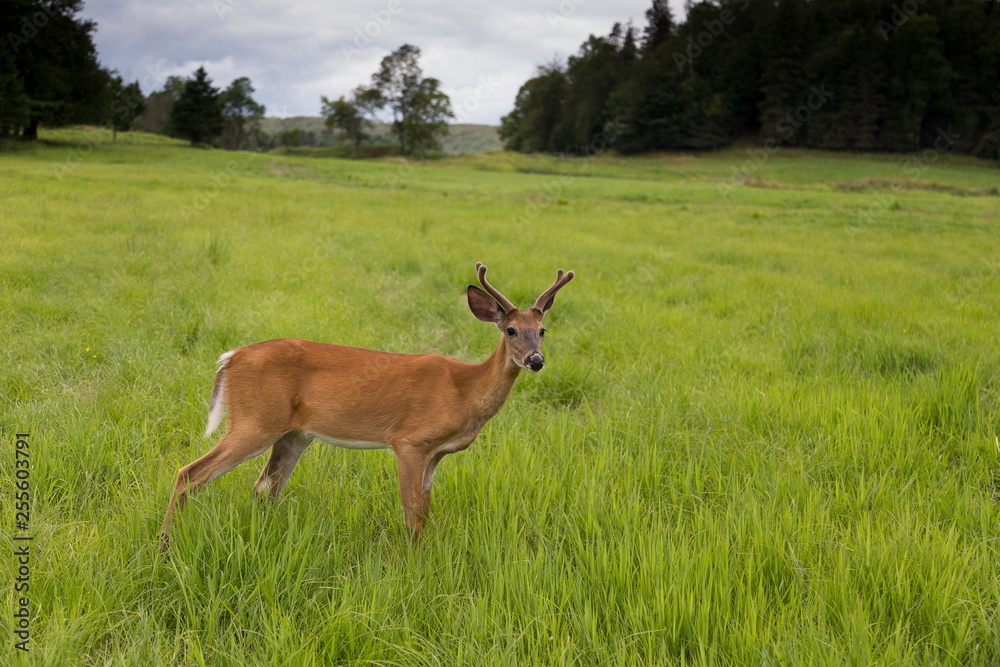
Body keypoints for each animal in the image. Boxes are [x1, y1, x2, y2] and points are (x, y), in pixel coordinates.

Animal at [159, 262, 574, 550]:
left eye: (542, 331)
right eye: (510, 330)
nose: (536, 360)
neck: (464, 390)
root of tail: (230, 358)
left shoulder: (436, 454)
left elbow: (425, 510)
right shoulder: (410, 441)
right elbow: (412, 516)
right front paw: (414, 563)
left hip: (295, 434)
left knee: (265, 487)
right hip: (255, 420)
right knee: (190, 474)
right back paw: (164, 546)